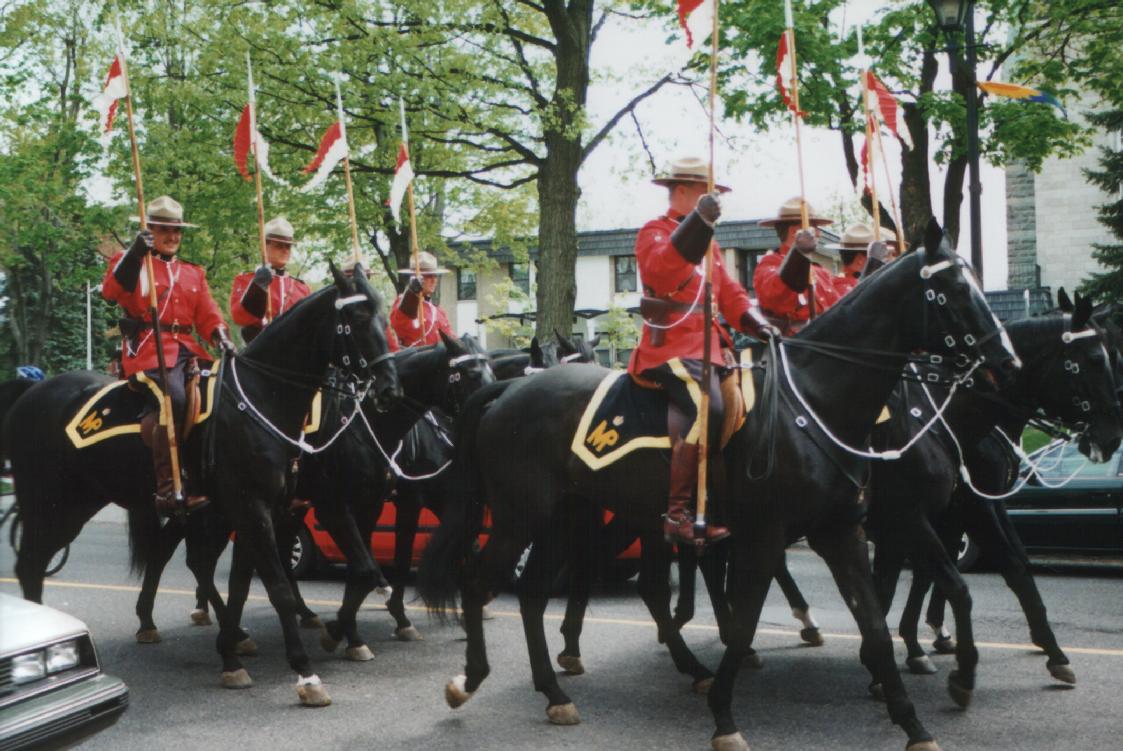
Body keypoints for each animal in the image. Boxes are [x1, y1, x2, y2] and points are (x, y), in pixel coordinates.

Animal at [2, 264, 399, 704]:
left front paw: (236, 652)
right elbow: (277, 584)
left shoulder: (279, 507)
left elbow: (339, 570)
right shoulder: (260, 506)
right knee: (31, 565)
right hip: (51, 507)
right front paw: (305, 671)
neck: (264, 398)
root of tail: (30, 393)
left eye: (384, 317)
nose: (389, 388)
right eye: (358, 318)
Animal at [417, 220, 1015, 745]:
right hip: (523, 516)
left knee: (537, 593)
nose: (1005, 362)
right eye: (951, 289)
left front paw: (914, 724)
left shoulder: (841, 530)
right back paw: (471, 679)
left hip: (569, 516)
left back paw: (556, 690)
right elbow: (745, 619)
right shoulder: (775, 534)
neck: (815, 402)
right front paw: (725, 715)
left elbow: (874, 622)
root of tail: (512, 389)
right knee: (480, 579)